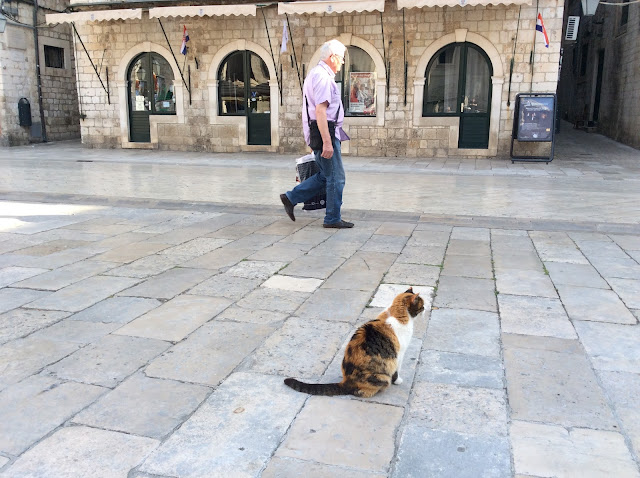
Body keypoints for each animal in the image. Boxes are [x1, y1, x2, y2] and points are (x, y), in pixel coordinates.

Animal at [284, 290, 424, 398]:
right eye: (422, 305)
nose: (426, 308)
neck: (395, 313)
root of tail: (346, 382)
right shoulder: (399, 355)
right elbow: (396, 371)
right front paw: (398, 380)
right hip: (383, 377)